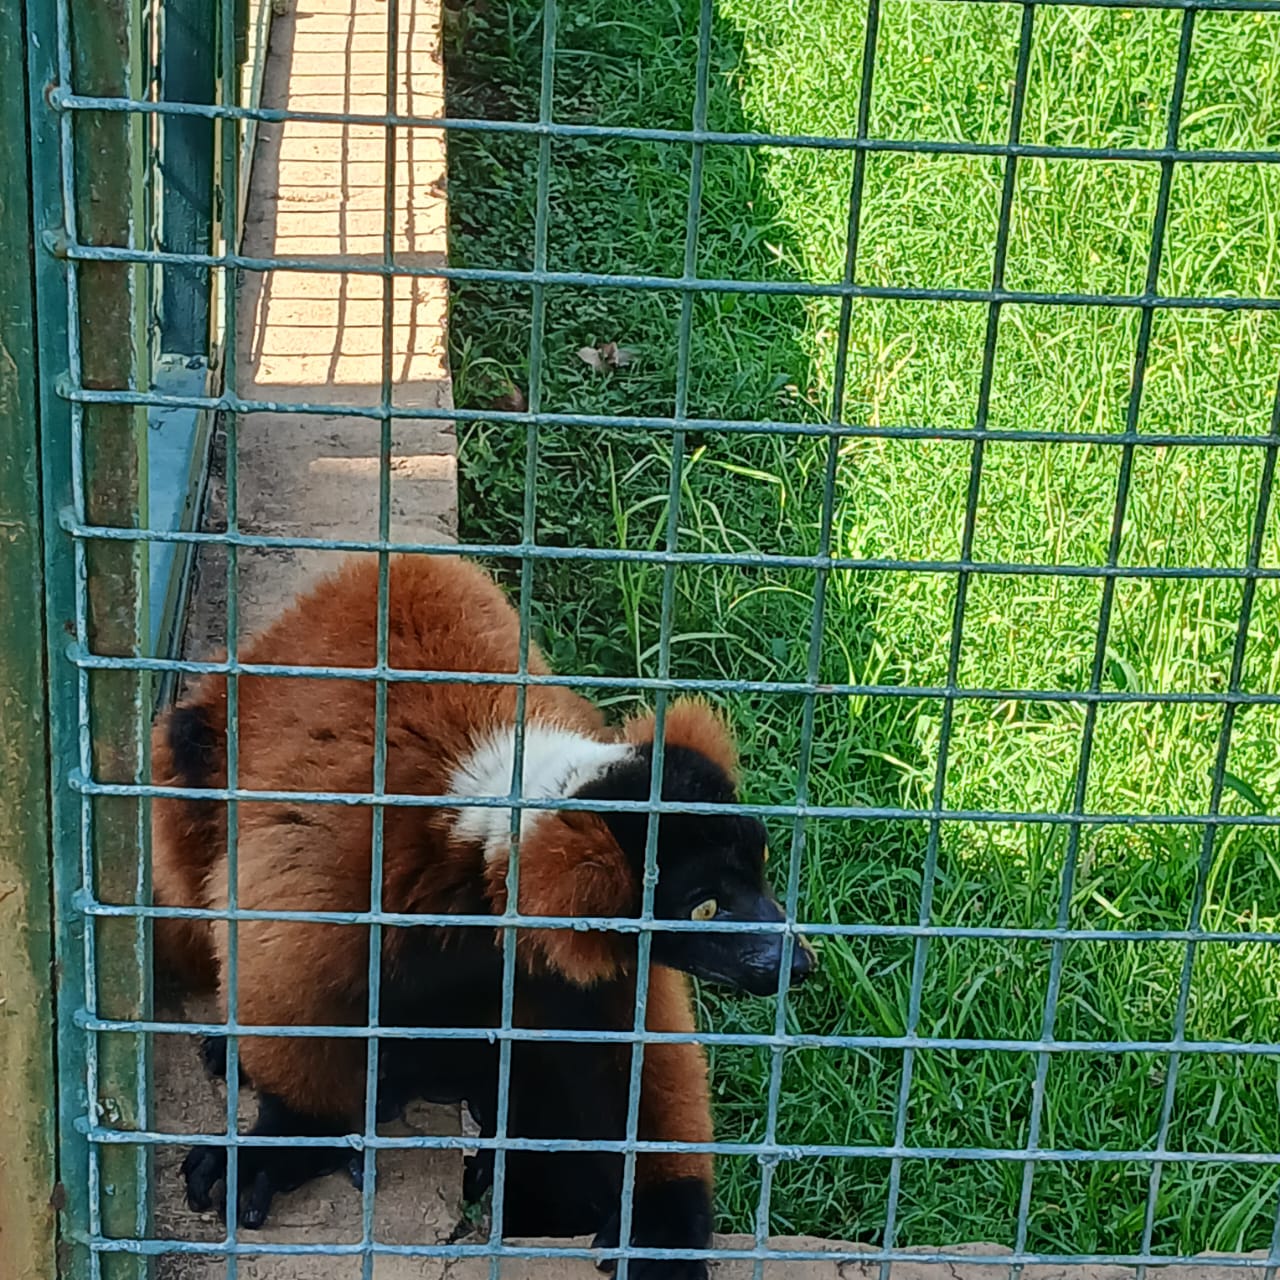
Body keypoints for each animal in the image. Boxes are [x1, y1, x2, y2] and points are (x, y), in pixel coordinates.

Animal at [151, 552, 815, 1277]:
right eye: (706, 906)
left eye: (760, 872)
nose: (798, 962)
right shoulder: (346, 879)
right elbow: (286, 979)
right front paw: (291, 1137)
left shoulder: (570, 957)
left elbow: (629, 1059)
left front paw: (662, 1224)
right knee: (188, 760)